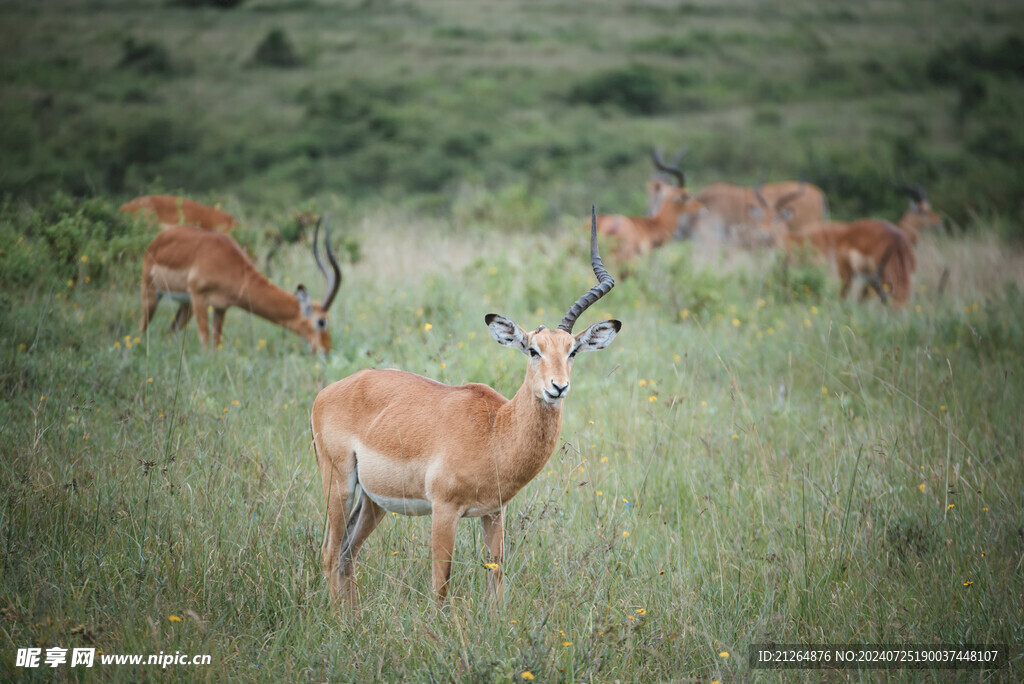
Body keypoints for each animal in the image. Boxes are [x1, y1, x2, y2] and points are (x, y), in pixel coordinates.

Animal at [139, 216, 344, 352]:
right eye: (321, 321)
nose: (327, 349)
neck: (230, 265)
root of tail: (156, 240)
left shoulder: (221, 308)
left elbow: (216, 344)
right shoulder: (199, 298)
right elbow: (206, 342)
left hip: (185, 305)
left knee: (171, 331)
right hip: (152, 294)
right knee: (142, 329)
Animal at [311, 211, 618, 602]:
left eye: (572, 351)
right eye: (533, 350)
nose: (558, 387)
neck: (495, 429)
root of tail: (328, 392)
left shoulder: (494, 512)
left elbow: (497, 581)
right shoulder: (444, 510)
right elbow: (440, 585)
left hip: (373, 501)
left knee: (348, 554)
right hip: (339, 484)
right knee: (329, 552)